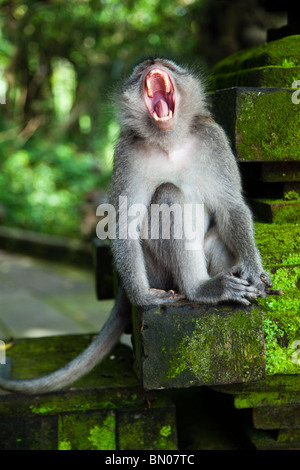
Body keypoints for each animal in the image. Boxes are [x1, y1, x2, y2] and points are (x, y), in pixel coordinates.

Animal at [0, 59, 276, 396]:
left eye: (167, 64)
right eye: (140, 69)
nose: (153, 62)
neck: (169, 141)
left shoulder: (214, 139)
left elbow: (230, 207)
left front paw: (253, 271)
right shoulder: (126, 153)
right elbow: (123, 224)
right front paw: (143, 297)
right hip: (157, 270)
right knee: (168, 194)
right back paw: (201, 289)